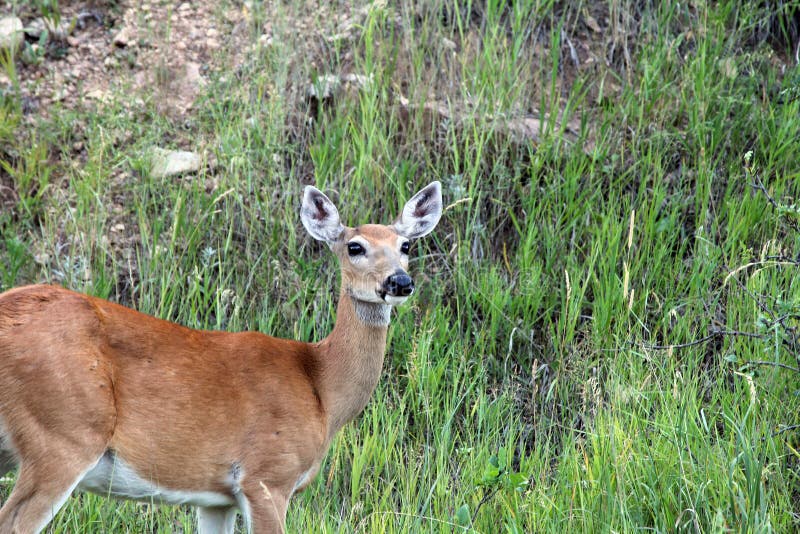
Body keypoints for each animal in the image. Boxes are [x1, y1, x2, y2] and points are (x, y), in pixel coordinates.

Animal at [0, 182, 444, 532]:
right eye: (355, 247)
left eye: (405, 245)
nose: (399, 281)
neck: (320, 386)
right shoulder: (267, 475)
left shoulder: (216, 499)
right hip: (63, 433)